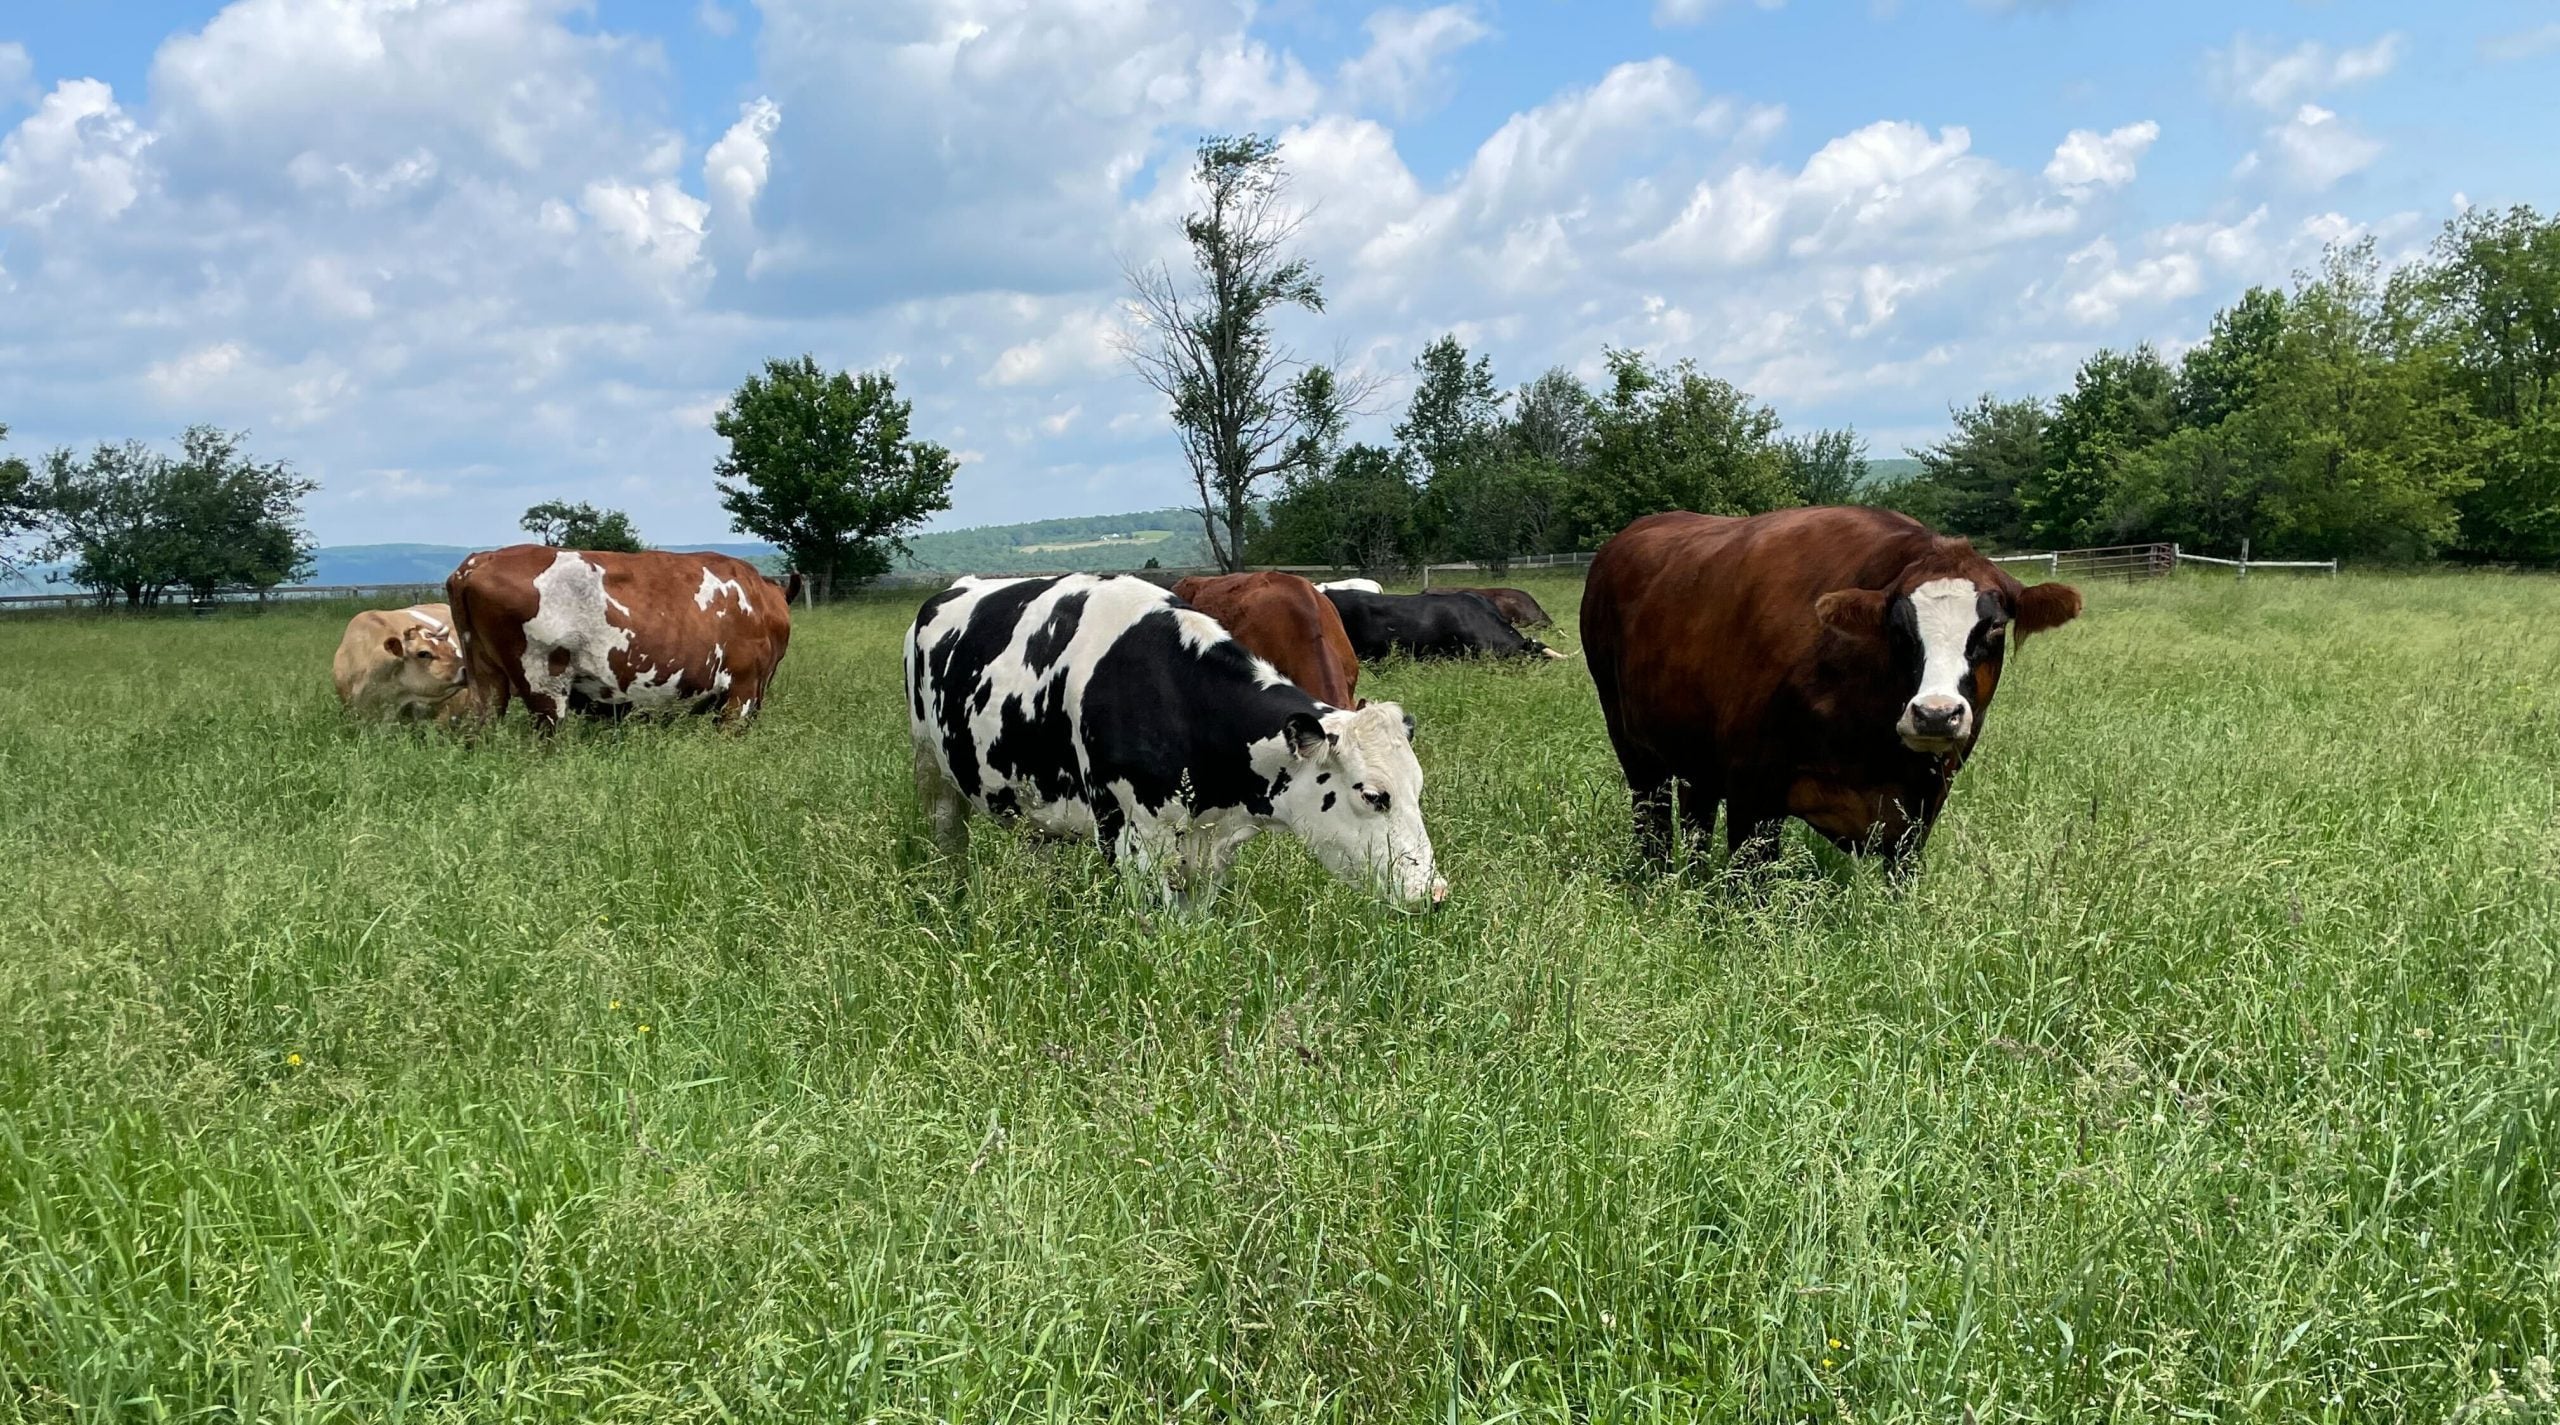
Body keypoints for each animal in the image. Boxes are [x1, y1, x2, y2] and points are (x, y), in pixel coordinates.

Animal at [1581, 505, 2082, 875]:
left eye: (1994, 628)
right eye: (1897, 629)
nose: (1936, 714)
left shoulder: (1923, 803)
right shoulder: (1752, 795)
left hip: (1694, 755)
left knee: (1695, 819)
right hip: (1634, 749)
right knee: (1654, 824)